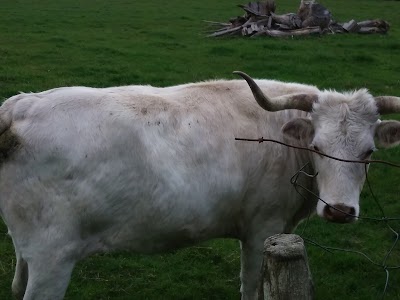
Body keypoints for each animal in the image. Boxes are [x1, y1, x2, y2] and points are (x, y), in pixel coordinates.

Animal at [0, 71, 398, 298]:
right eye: (316, 146)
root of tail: (20, 105)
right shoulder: (262, 228)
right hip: (53, 258)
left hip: (30, 253)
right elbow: (250, 285)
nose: (339, 210)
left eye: (369, 152)